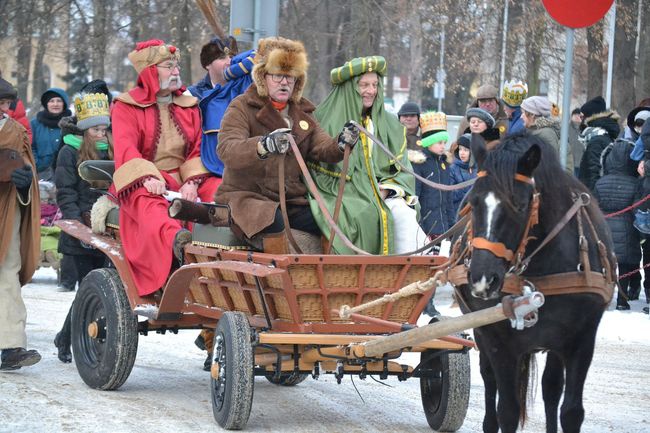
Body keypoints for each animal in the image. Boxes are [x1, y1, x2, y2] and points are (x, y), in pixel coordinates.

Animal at [454, 134, 616, 432]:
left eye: (519, 205)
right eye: (473, 202)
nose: (482, 279)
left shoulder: (581, 338)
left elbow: (571, 411)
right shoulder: (498, 340)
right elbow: (507, 410)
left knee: (551, 387)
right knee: (489, 378)